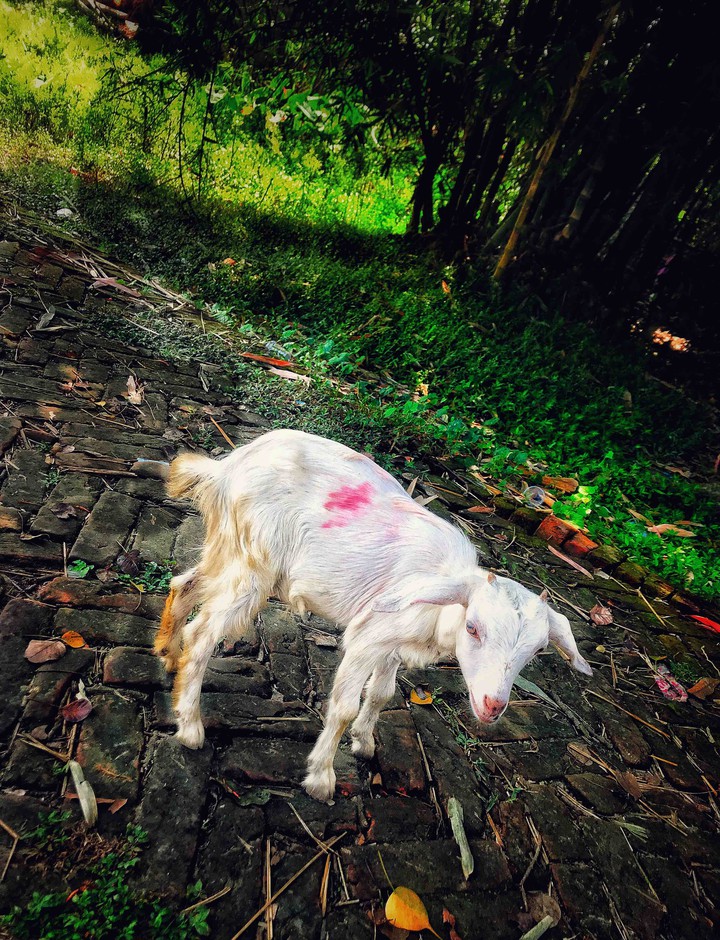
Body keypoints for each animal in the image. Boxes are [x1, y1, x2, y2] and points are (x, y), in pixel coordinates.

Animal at [155, 429, 592, 802]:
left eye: (536, 652)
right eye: (473, 627)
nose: (492, 706)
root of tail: (228, 467)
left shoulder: (392, 641)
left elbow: (382, 694)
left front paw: (364, 742)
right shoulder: (367, 639)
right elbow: (345, 706)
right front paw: (321, 778)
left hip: (230, 547)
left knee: (184, 583)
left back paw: (169, 655)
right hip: (254, 561)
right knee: (203, 633)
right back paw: (190, 725)